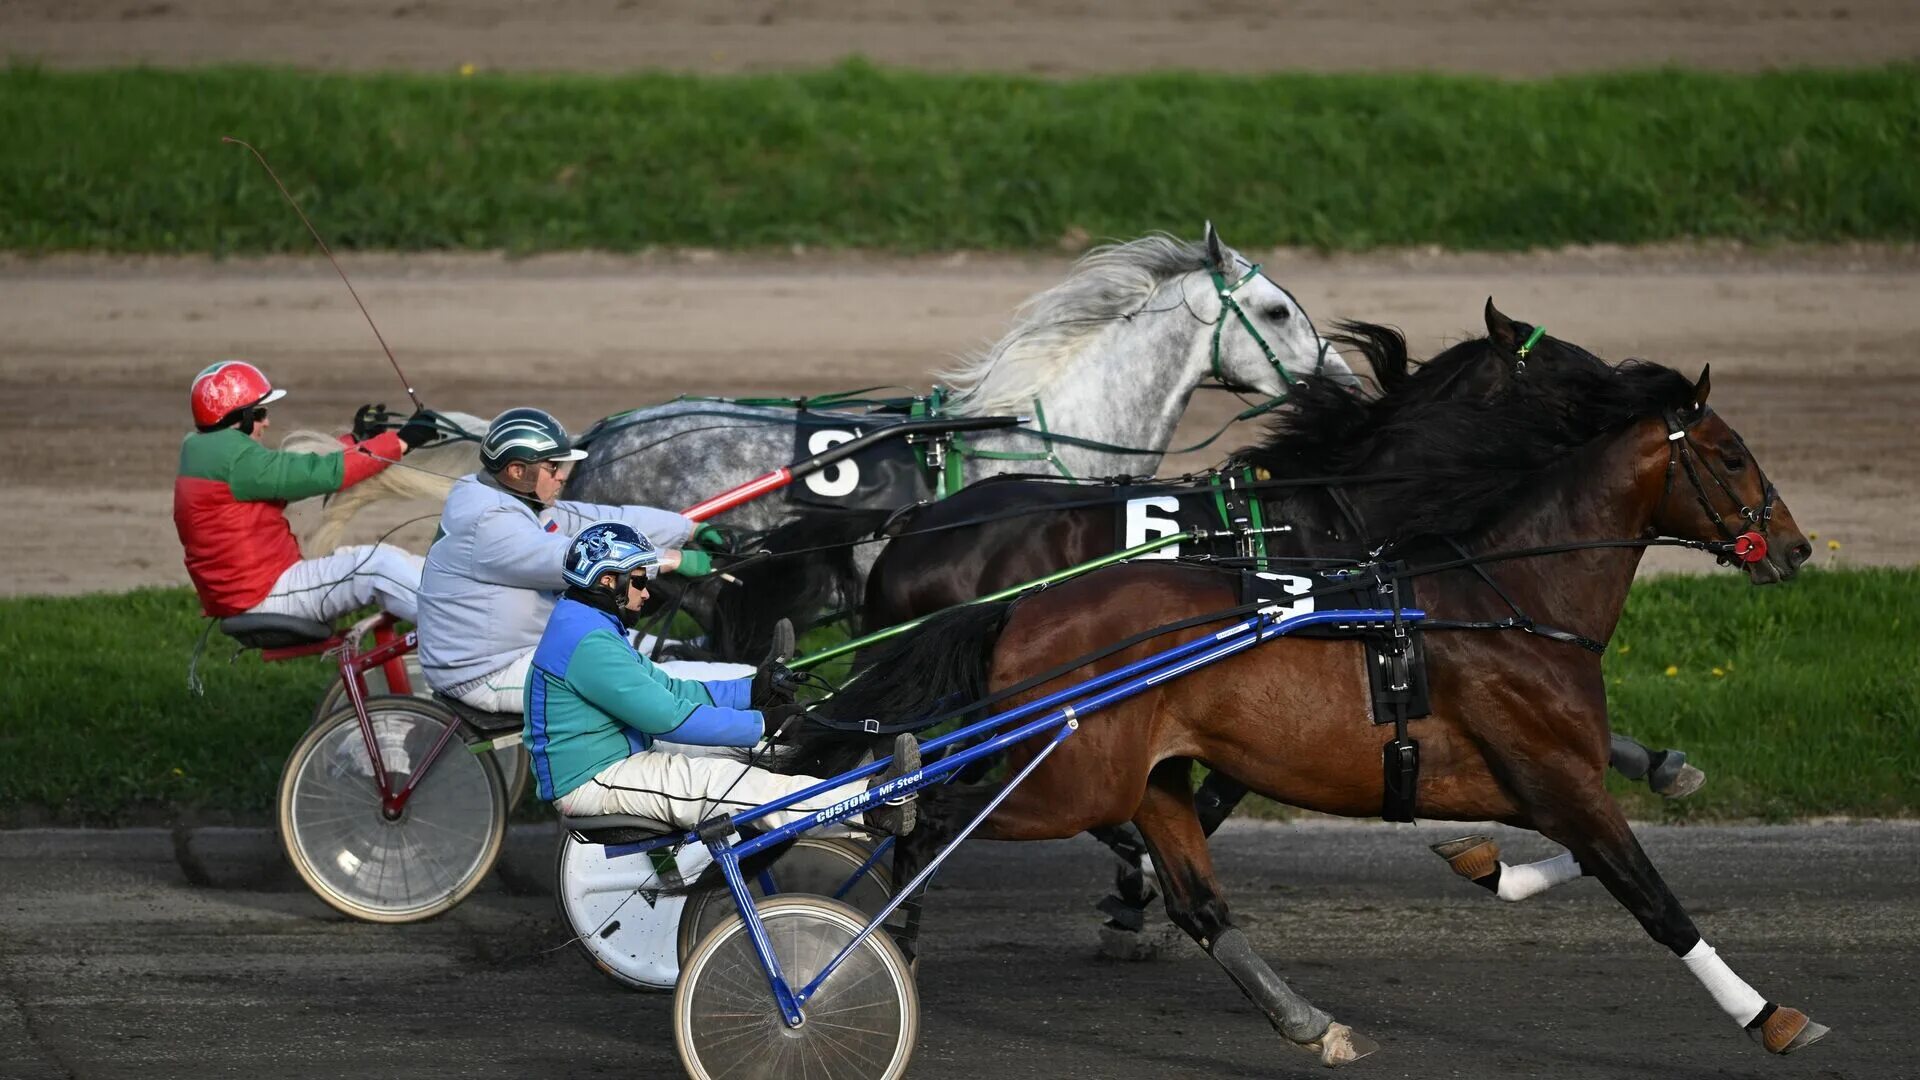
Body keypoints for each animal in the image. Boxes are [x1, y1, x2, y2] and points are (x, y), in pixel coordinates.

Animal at [775, 307, 1812, 1060]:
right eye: (1729, 454)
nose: (1797, 548)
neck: (1494, 593)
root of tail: (915, 532)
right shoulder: (1546, 769)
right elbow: (1643, 887)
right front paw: (1768, 1015)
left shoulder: (1527, 775)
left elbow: (1584, 844)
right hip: (1069, 774)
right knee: (926, 813)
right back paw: (884, 939)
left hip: (1123, 767)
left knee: (1183, 893)